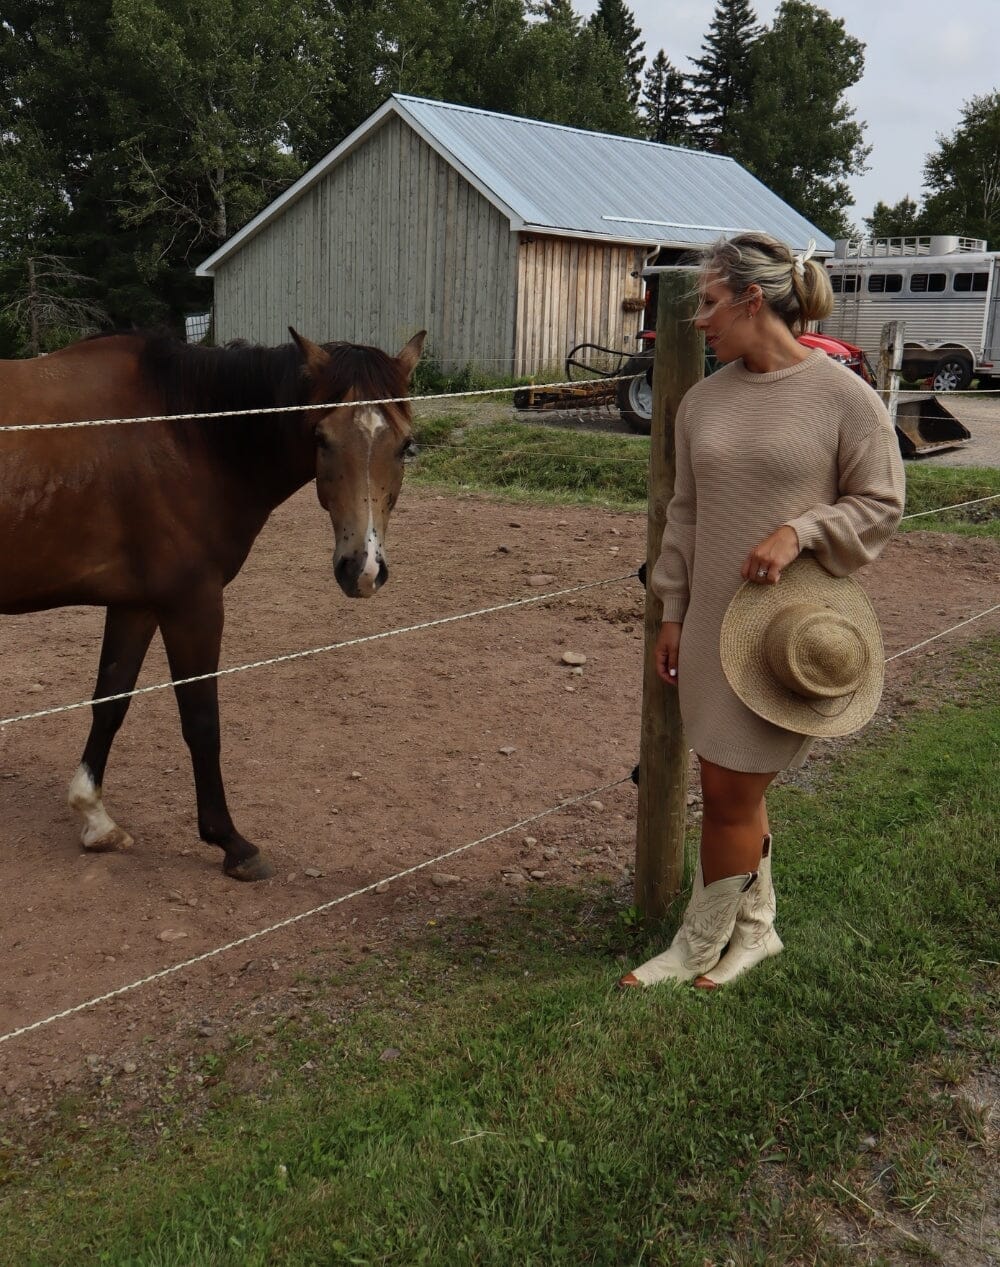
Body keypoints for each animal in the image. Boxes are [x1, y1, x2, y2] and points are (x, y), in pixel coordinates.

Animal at [0, 326, 425, 881]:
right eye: (321, 438)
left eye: (405, 445)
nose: (364, 569)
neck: (182, 434)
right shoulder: (192, 605)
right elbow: (202, 721)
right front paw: (231, 843)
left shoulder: (137, 604)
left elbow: (111, 702)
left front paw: (94, 818)